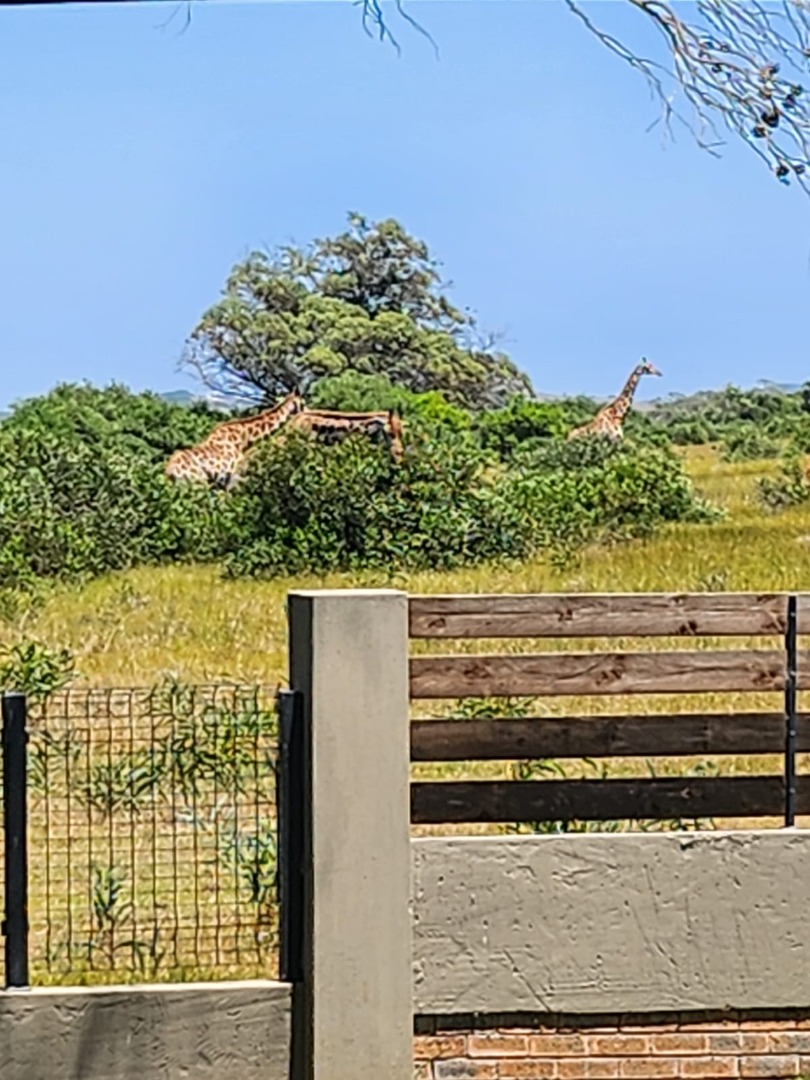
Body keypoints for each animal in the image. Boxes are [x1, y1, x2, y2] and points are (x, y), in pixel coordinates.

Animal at [164, 391, 304, 489]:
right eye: (302, 403)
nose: (306, 410)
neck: (244, 438)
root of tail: (169, 472)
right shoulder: (233, 474)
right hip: (197, 483)